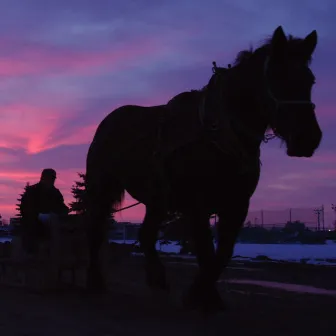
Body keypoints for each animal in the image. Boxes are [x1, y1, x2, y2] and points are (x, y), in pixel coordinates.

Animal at [85, 25, 322, 312]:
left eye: (310, 80)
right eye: (277, 77)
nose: (308, 139)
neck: (218, 134)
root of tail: (108, 121)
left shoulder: (236, 204)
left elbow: (223, 253)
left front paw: (204, 294)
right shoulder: (195, 203)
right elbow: (207, 251)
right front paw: (201, 296)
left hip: (157, 199)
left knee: (147, 234)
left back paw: (157, 278)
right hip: (102, 187)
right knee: (95, 229)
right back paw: (94, 281)